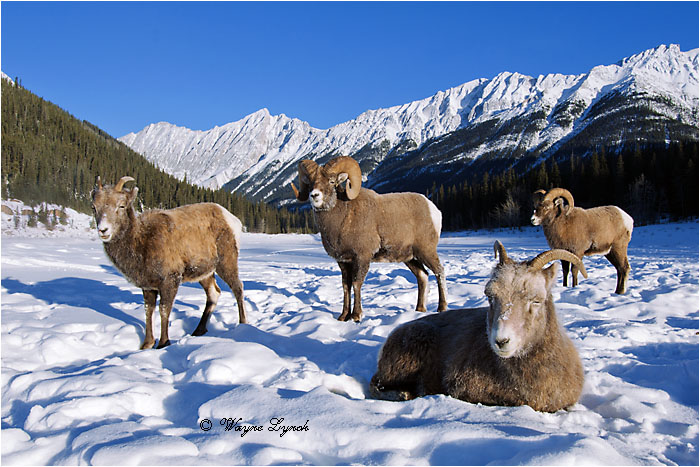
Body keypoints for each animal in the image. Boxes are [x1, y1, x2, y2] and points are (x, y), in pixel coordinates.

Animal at [91, 176, 246, 349]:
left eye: (121, 205)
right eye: (94, 207)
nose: (103, 230)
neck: (141, 244)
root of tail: (234, 221)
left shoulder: (170, 279)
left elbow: (164, 309)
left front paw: (163, 343)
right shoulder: (148, 285)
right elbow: (148, 310)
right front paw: (146, 344)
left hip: (226, 261)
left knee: (238, 288)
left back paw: (243, 323)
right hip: (204, 272)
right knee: (214, 293)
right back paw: (198, 330)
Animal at [290, 156, 447, 322]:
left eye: (332, 181)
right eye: (310, 183)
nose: (314, 195)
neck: (343, 217)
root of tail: (434, 210)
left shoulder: (362, 257)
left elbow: (356, 283)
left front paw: (356, 316)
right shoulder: (343, 262)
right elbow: (346, 286)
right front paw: (343, 317)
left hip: (426, 251)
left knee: (439, 272)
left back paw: (442, 308)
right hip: (410, 258)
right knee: (422, 276)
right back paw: (420, 309)